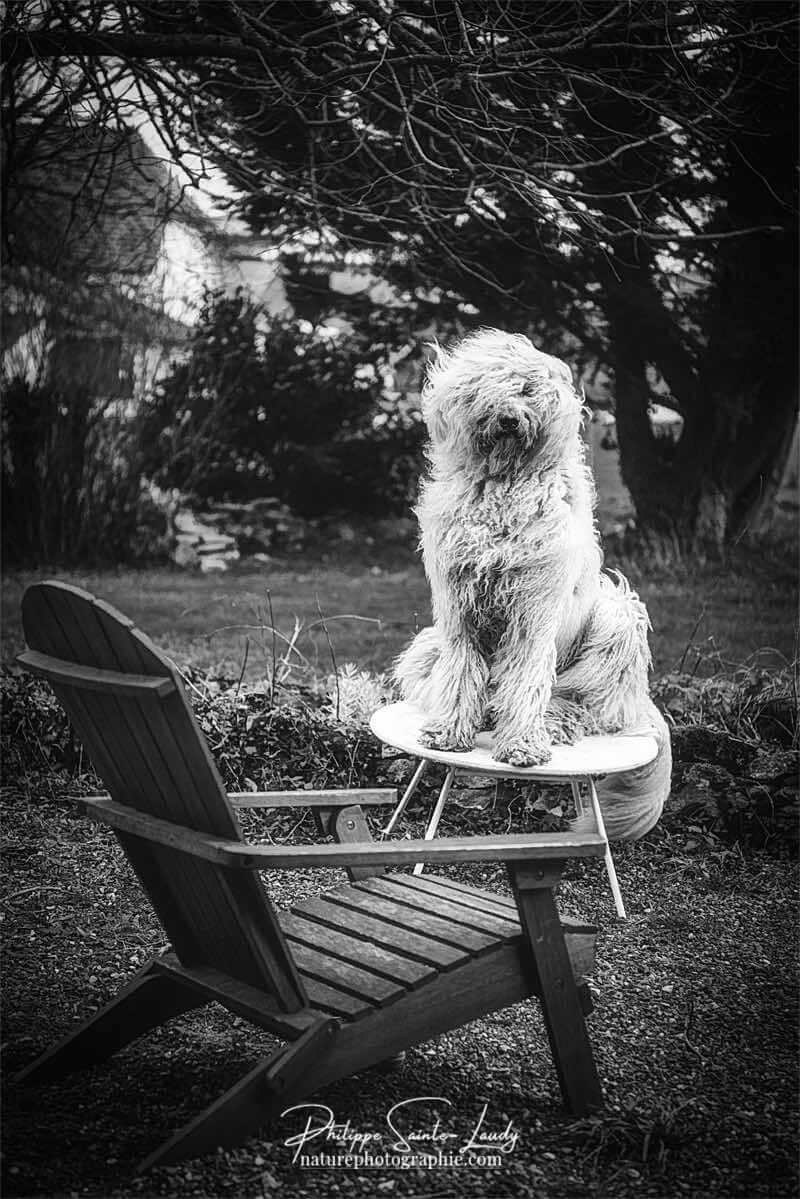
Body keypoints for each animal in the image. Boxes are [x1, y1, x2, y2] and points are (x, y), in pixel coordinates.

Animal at [398, 323, 671, 839]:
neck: (503, 484)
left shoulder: (532, 612)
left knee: (587, 705)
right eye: (484, 387)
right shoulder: (459, 612)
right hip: (426, 644)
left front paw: (522, 745)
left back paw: (555, 722)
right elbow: (461, 672)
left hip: (616, 617)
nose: (508, 420)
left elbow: (525, 677)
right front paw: (449, 732)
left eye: (527, 389)